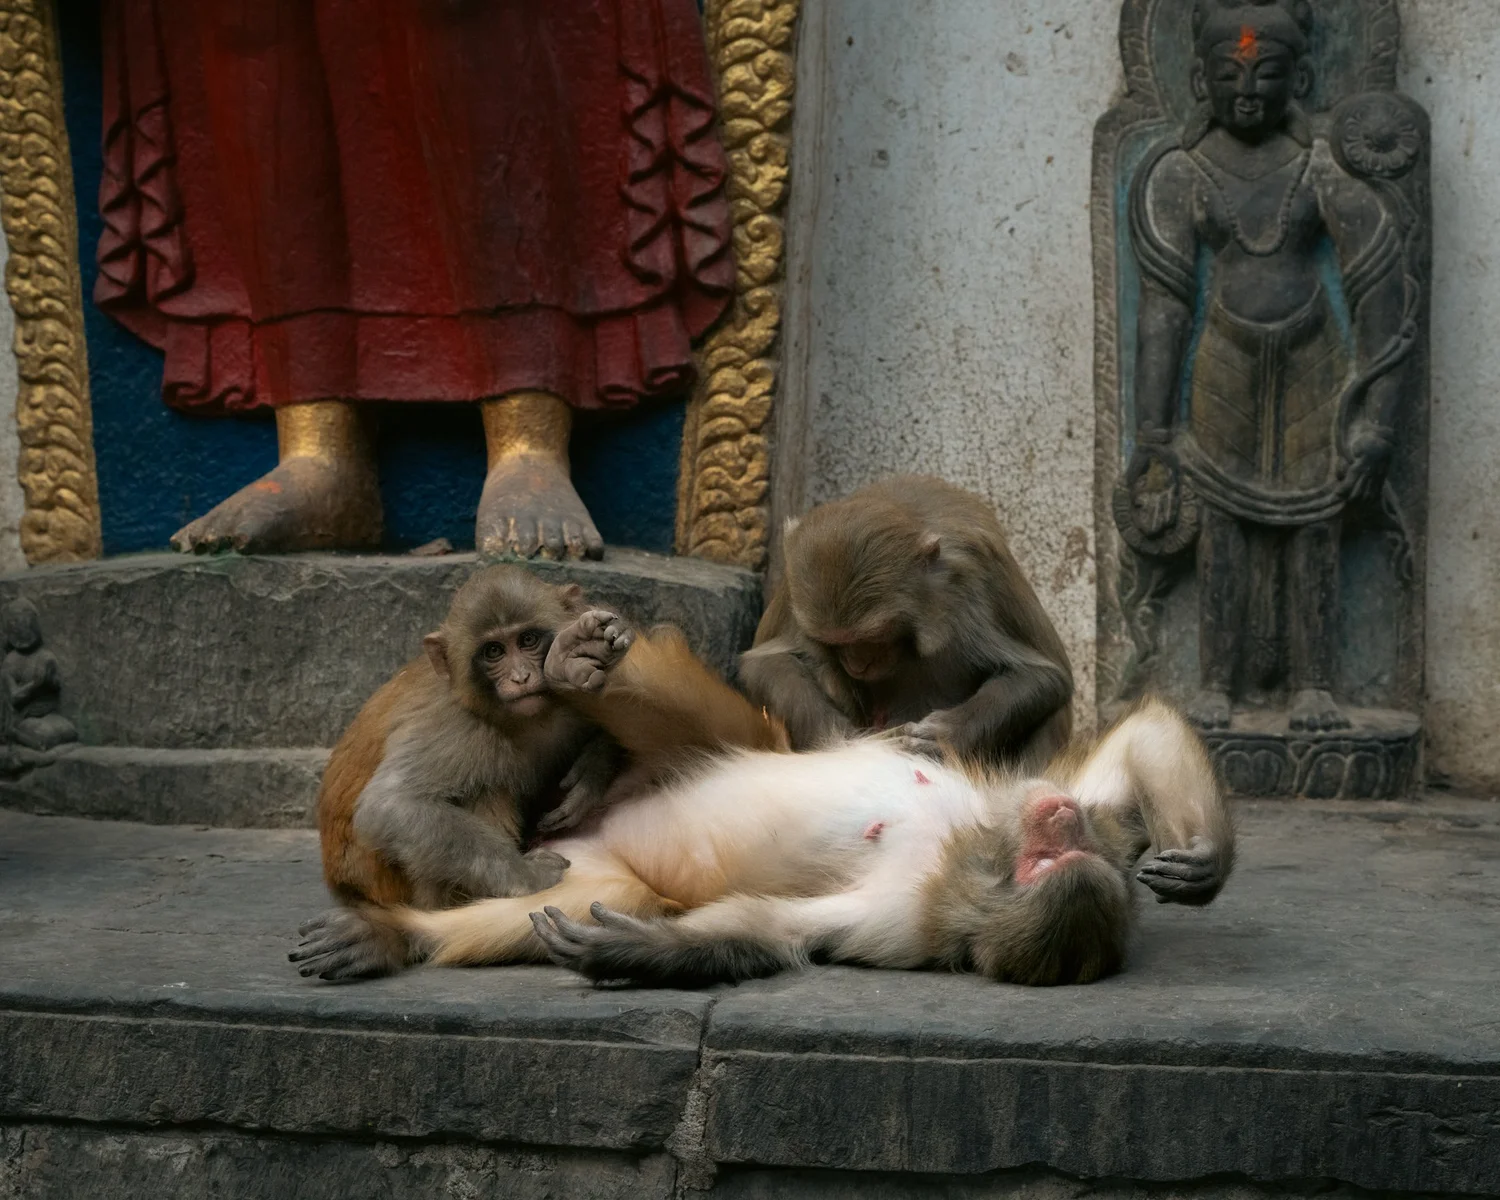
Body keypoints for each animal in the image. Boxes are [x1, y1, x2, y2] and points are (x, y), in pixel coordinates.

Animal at [291, 606, 1233, 987]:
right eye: (1055, 838)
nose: (1056, 818)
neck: (966, 850)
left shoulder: (905, 920)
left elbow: (774, 930)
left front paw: (640, 952)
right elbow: (1127, 752)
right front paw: (1204, 859)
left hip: (589, 866)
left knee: (563, 898)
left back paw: (405, 935)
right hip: (710, 746)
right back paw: (577, 665)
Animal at [316, 564, 627, 912]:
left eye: (527, 640)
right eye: (494, 651)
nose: (521, 677)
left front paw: (592, 771)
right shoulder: (452, 726)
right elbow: (390, 805)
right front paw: (528, 874)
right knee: (486, 787)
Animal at [739, 475, 1075, 772]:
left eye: (875, 636)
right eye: (835, 642)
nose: (857, 664)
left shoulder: (978, 583)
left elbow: (1042, 675)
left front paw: (946, 735)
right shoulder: (793, 585)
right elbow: (764, 664)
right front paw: (843, 741)